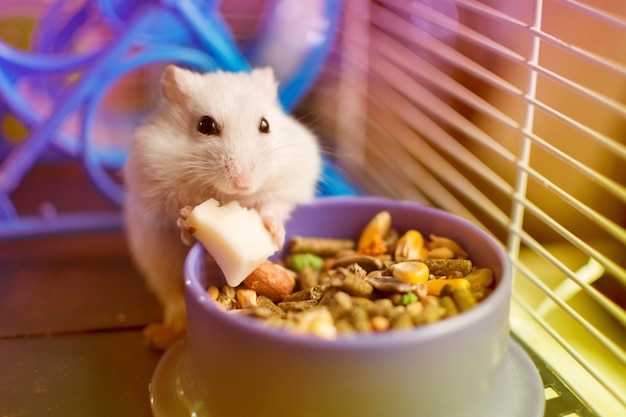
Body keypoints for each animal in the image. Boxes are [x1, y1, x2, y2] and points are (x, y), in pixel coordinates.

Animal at [121, 65, 320, 336]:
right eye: (205, 125)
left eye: (265, 124)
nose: (243, 182)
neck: (229, 194)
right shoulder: (154, 191)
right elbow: (175, 212)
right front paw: (187, 216)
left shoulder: (289, 184)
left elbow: (272, 207)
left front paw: (276, 235)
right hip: (155, 260)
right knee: (171, 295)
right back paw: (173, 325)